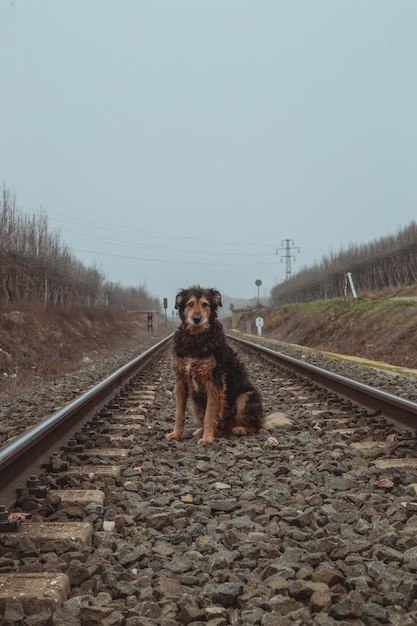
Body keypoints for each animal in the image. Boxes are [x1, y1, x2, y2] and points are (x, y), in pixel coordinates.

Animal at [164, 286, 290, 442]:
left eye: (205, 304)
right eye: (190, 304)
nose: (196, 319)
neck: (196, 338)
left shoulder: (214, 382)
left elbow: (209, 415)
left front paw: (207, 439)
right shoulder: (181, 380)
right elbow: (179, 413)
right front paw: (176, 434)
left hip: (245, 397)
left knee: (255, 427)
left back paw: (239, 429)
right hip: (196, 403)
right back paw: (203, 430)